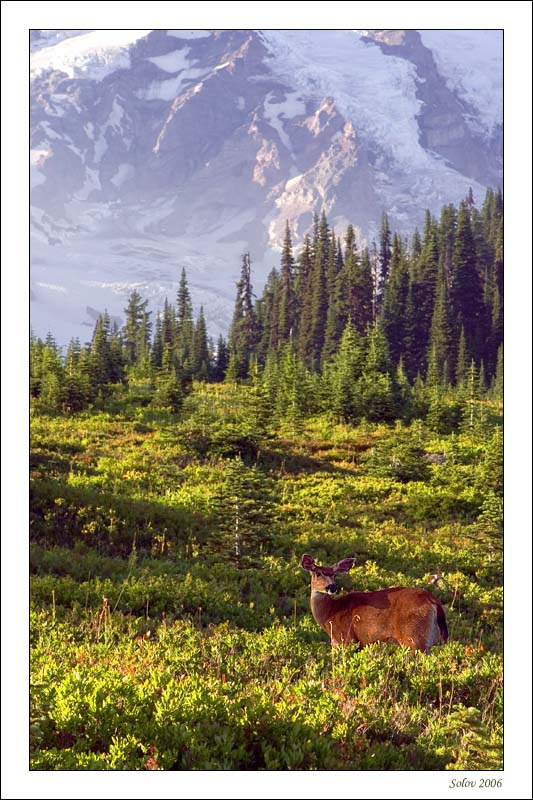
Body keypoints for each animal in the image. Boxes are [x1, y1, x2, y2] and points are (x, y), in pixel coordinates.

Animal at [301, 554, 448, 653]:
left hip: (413, 637)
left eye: (334, 575)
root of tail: (433, 601)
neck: (330, 614)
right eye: (318, 573)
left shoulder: (346, 639)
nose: (332, 587)